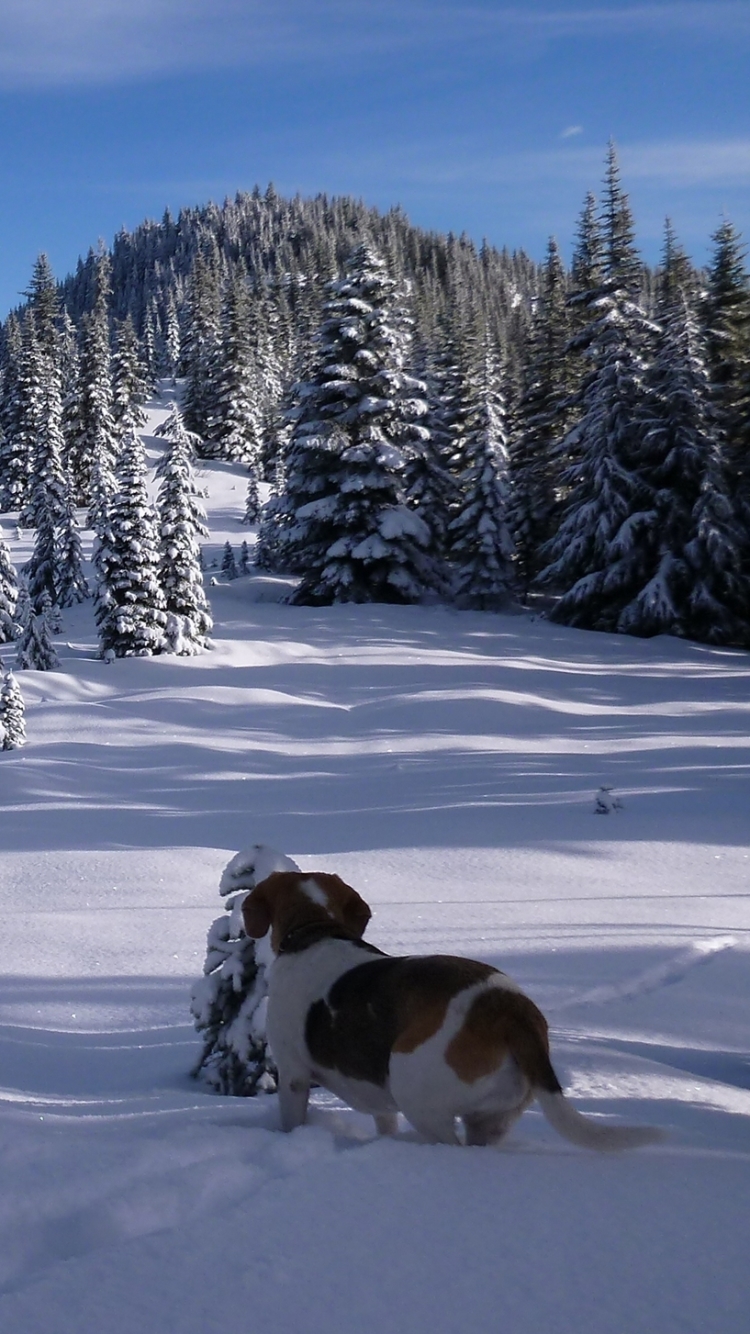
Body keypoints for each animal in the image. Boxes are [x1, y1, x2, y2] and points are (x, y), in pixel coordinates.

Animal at [242, 869, 656, 1152]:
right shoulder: (381, 1106)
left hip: (416, 1092)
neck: (316, 930)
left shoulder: (294, 1076)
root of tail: (508, 1007)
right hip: (492, 1119)